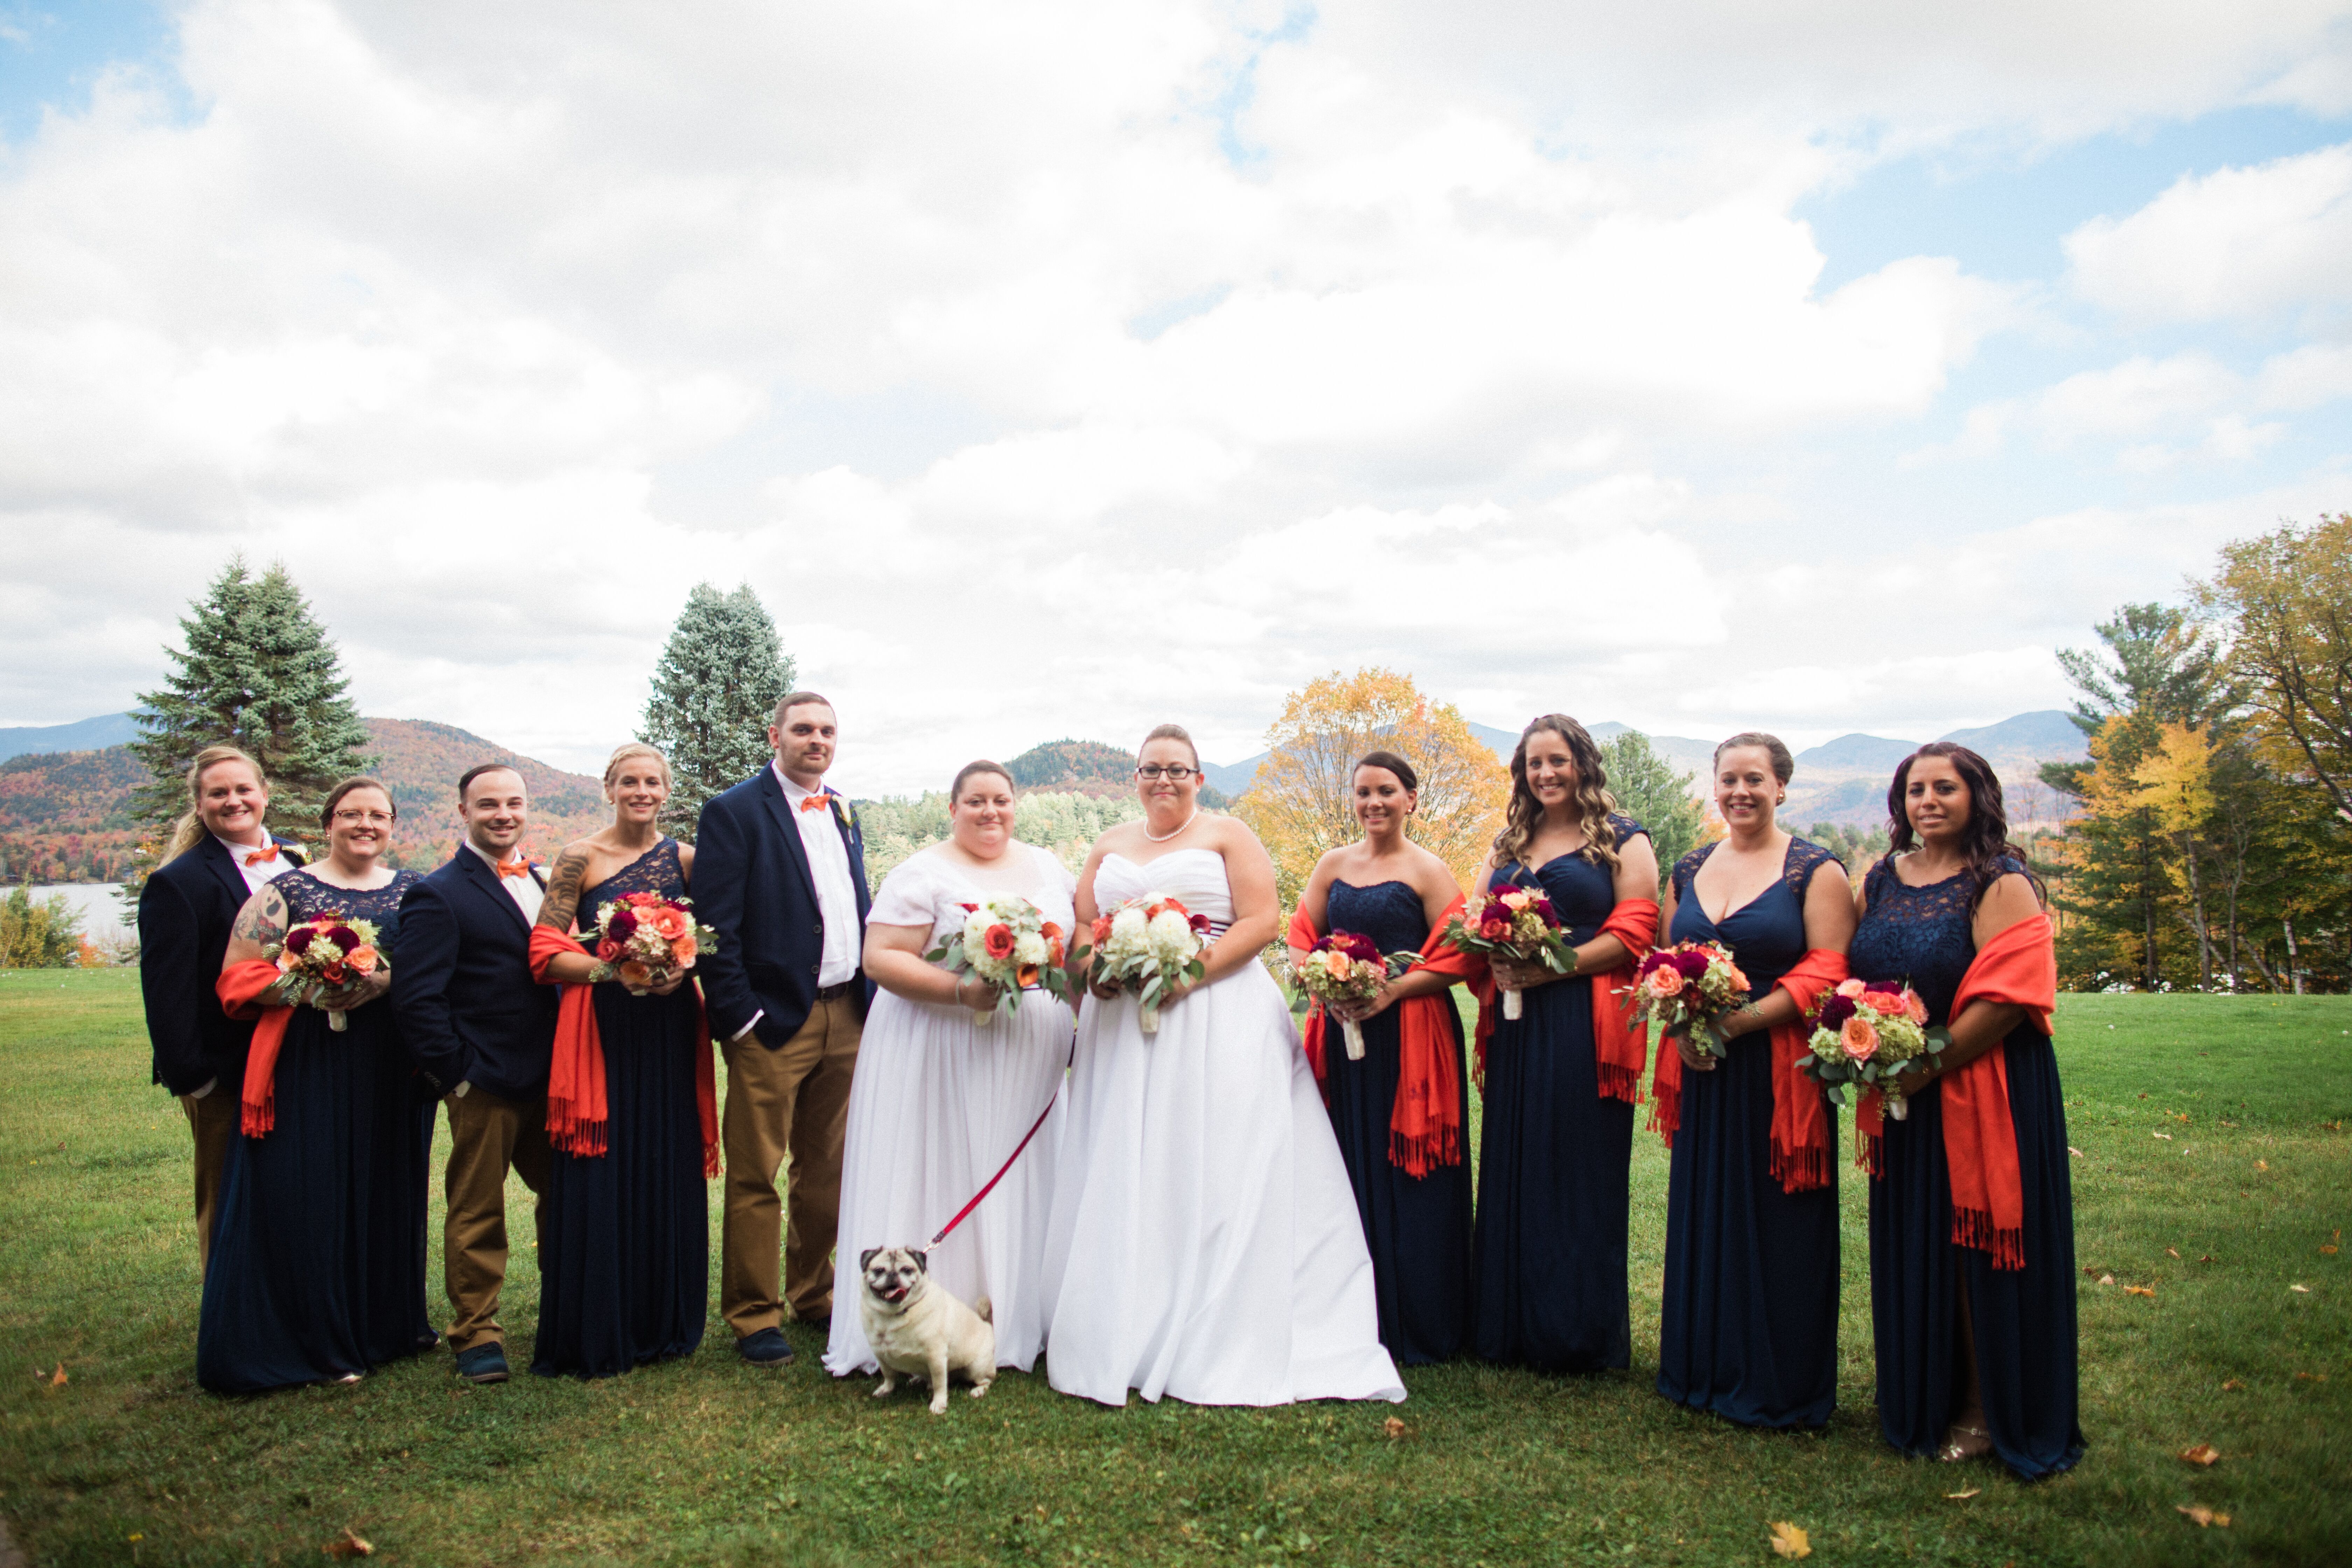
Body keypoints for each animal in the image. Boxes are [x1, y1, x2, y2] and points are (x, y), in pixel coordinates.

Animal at [861, 1241, 997, 1420]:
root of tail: (988, 1327)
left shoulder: (936, 1358)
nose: (892, 1275)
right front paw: (886, 1389)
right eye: (879, 1271)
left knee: (987, 1380)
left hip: (976, 1368)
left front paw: (939, 1404)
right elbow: (888, 1375)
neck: (894, 1315)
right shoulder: (881, 1355)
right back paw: (918, 1379)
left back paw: (978, 1390)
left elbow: (940, 1384)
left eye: (907, 1270)